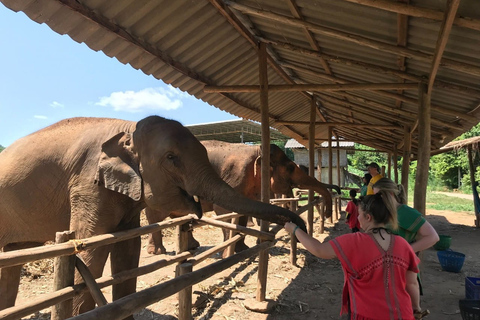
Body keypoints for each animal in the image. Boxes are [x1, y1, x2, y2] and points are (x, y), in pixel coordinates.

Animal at [0, 115, 306, 318]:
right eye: (171, 158)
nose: (299, 224)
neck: (126, 127)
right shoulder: (88, 184)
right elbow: (90, 250)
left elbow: (127, 250)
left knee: (13, 256)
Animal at [144, 141, 340, 256]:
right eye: (291, 167)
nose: (328, 214)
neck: (257, 148)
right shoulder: (235, 174)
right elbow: (223, 210)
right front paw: (228, 252)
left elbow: (243, 214)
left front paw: (242, 250)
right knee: (155, 217)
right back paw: (157, 252)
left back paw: (191, 247)